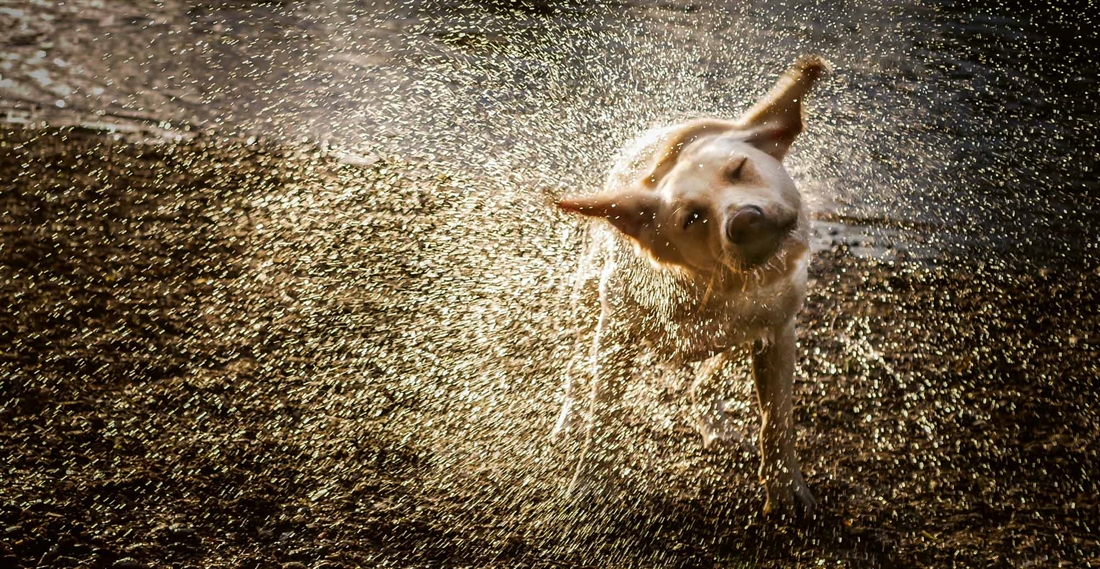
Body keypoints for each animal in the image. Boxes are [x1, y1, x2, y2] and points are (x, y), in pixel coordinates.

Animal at [550, 54, 827, 515]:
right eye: (691, 217)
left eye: (739, 168)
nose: (744, 221)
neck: (713, 287)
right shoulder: (616, 337)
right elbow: (602, 414)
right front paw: (589, 486)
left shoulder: (776, 332)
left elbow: (776, 421)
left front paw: (785, 488)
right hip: (589, 298)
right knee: (576, 368)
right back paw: (568, 419)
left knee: (711, 375)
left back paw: (714, 418)